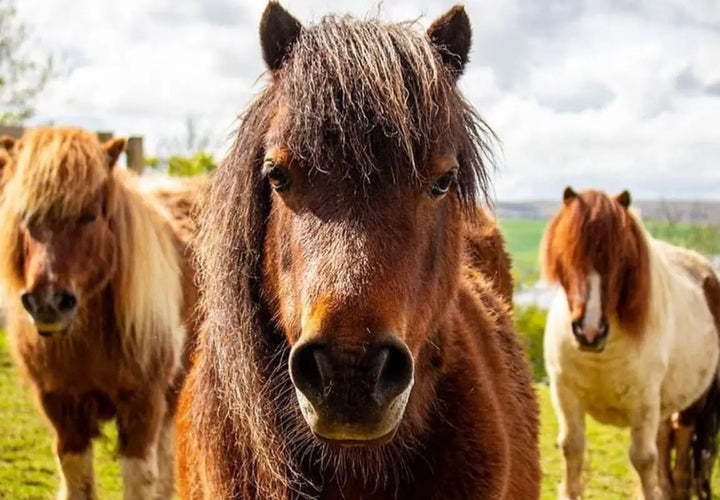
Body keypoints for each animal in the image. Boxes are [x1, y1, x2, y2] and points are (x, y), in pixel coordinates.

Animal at [0, 127, 200, 499]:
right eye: (25, 217)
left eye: (90, 216)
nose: (48, 302)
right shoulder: (62, 411)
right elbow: (78, 481)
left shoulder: (142, 405)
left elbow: (140, 480)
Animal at [542, 187, 720, 500]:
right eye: (566, 253)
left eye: (621, 256)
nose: (589, 332)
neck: (602, 356)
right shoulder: (566, 394)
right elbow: (572, 449)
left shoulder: (643, 401)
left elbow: (643, 459)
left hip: (691, 405)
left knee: (681, 452)